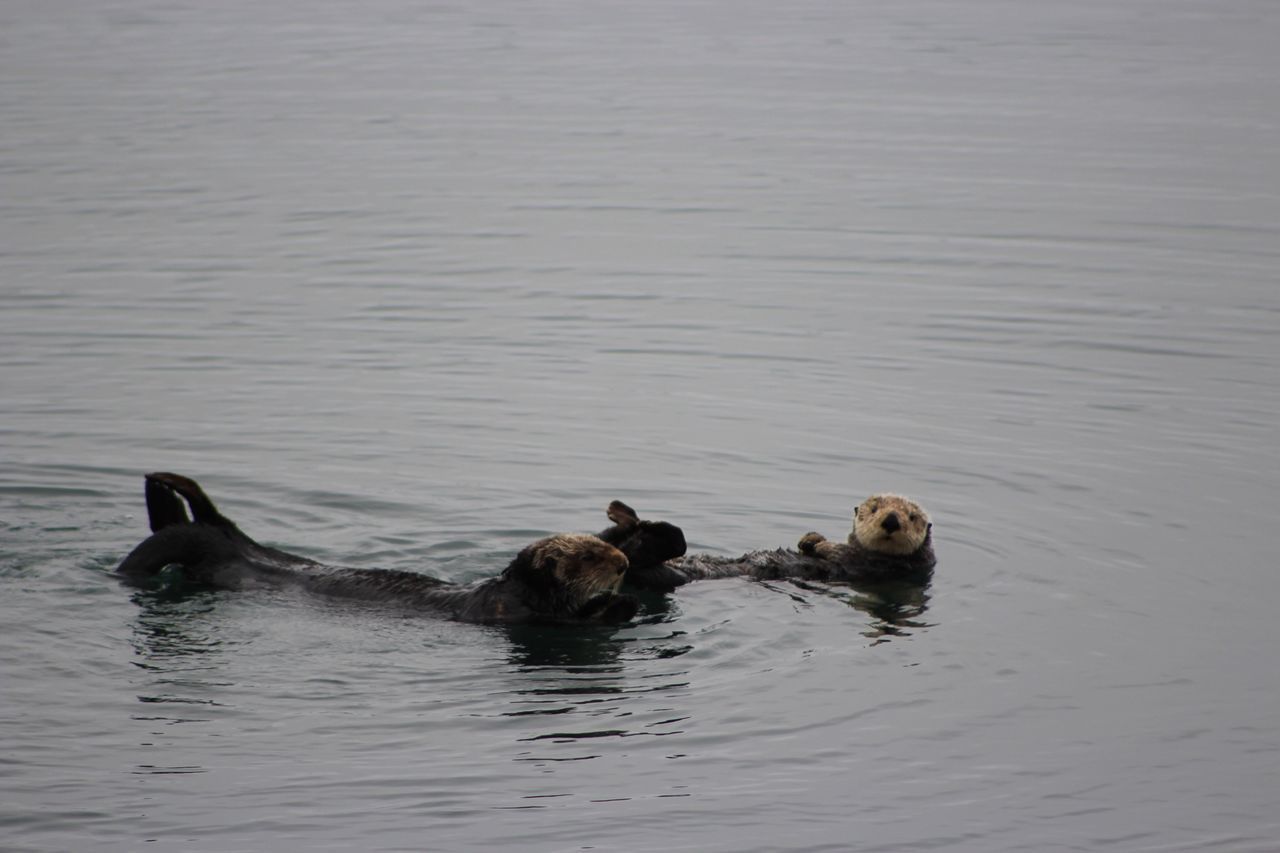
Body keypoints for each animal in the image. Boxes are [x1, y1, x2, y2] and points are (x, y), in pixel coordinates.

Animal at [115, 471, 640, 625]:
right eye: (590, 557)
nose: (622, 563)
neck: (517, 589)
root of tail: (237, 542)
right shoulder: (520, 614)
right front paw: (619, 601)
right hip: (209, 554)